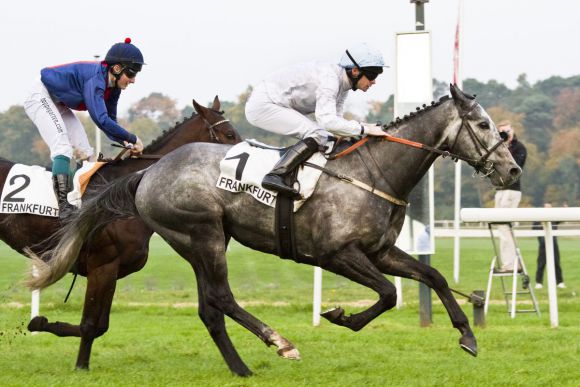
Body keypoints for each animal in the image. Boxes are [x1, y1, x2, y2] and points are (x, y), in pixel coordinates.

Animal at [0, 97, 240, 370]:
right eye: (229, 134)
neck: (126, 195)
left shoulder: (112, 269)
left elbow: (100, 326)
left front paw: (43, 324)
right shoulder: (102, 265)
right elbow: (90, 324)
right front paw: (80, 365)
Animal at [29, 84, 520, 376]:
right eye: (482, 125)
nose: (512, 170)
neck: (374, 172)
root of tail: (147, 172)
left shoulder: (379, 251)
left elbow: (432, 277)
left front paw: (468, 335)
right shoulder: (338, 254)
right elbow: (387, 295)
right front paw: (341, 316)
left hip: (200, 241)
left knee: (210, 308)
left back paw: (241, 368)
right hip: (203, 235)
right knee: (223, 298)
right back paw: (279, 342)